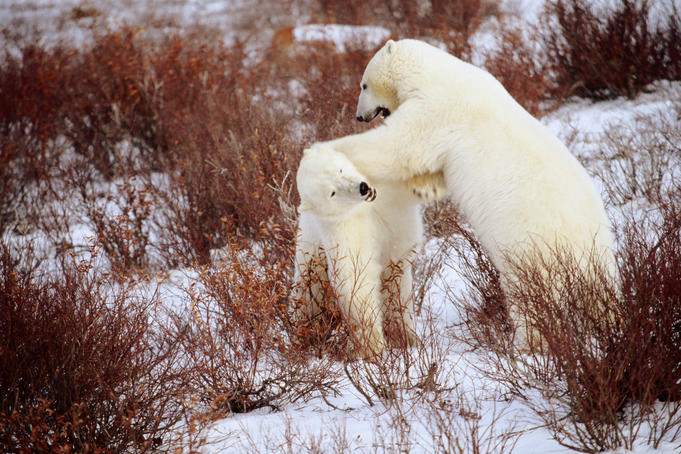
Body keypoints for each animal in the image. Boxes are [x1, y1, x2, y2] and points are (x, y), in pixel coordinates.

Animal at [293, 145, 445, 359]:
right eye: (332, 193)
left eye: (339, 169)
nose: (362, 188)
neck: (366, 208)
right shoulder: (347, 230)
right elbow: (357, 281)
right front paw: (375, 348)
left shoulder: (387, 194)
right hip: (310, 253)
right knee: (308, 295)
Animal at [314, 38, 618, 349]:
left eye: (363, 85)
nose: (359, 116)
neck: (435, 74)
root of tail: (586, 248)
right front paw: (424, 185)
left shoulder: (438, 108)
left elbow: (399, 145)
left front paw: (329, 147)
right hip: (598, 260)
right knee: (602, 296)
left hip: (534, 248)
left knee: (530, 298)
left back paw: (528, 344)